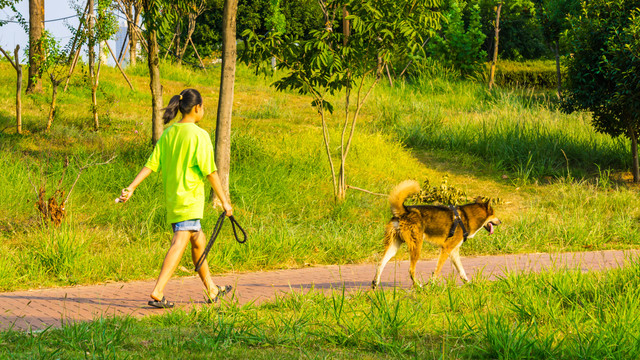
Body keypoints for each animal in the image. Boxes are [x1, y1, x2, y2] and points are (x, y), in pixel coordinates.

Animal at [372, 180, 502, 290]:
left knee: (380, 264)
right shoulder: (446, 249)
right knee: (410, 270)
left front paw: (469, 283)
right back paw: (419, 286)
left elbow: (461, 271)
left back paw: (375, 284)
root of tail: (404, 211)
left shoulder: (454, 252)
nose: (500, 222)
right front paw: (432, 284)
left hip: (393, 247)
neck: (467, 217)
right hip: (416, 247)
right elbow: (437, 270)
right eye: (494, 214)